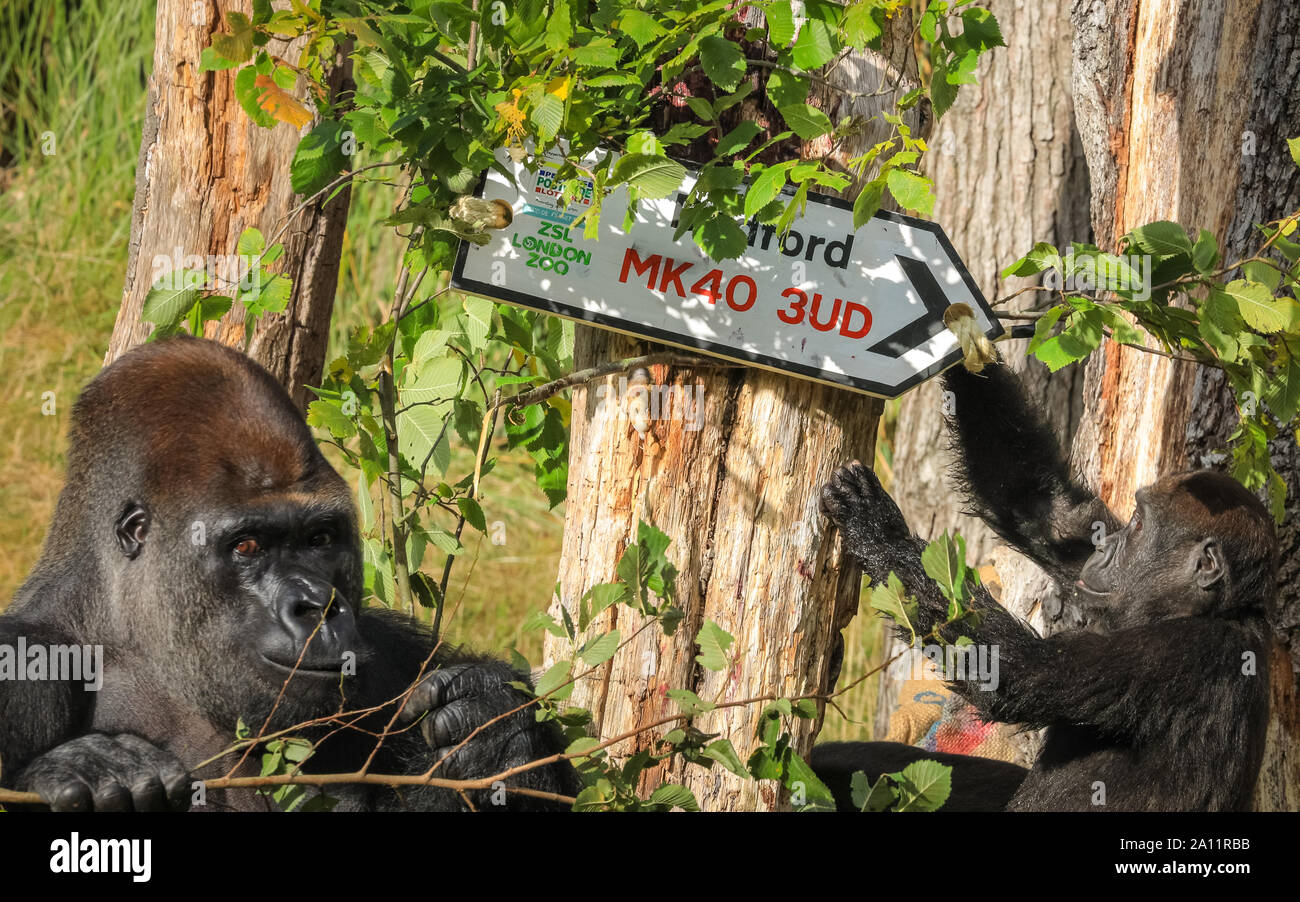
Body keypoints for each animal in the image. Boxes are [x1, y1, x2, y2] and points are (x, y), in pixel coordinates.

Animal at [0, 337, 579, 811]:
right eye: (247, 546)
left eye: (319, 539)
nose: (318, 606)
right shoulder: (22, 662)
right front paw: (86, 770)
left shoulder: (395, 651)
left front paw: (499, 734)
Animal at [816, 363, 1274, 816]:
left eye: (1140, 525)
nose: (1107, 545)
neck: (1210, 610)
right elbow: (1044, 510)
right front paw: (964, 346)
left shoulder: (1181, 651)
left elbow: (1011, 670)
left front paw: (876, 528)